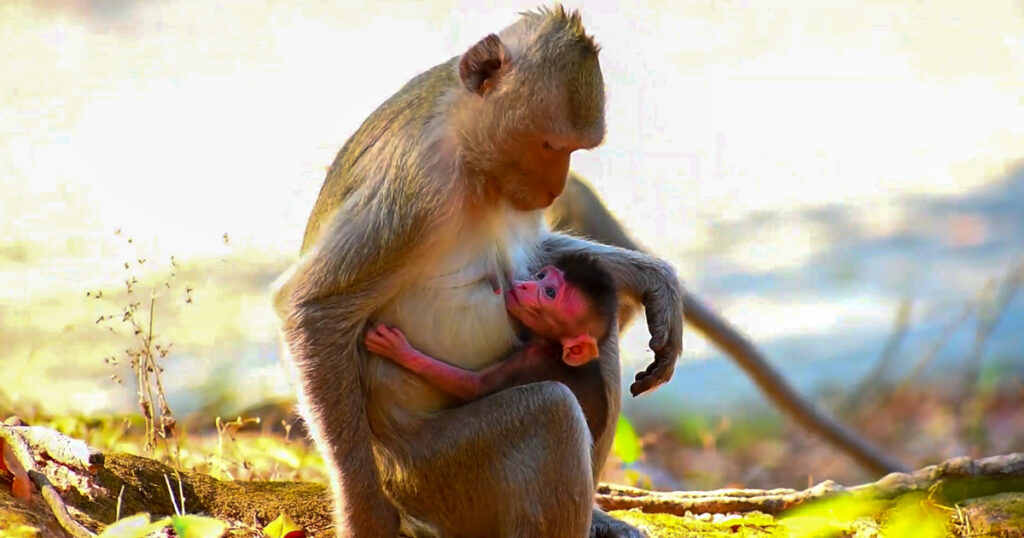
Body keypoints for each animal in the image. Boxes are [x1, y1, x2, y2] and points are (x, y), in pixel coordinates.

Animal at [365, 251, 618, 437]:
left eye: (549, 292)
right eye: (541, 276)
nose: (524, 285)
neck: (553, 346)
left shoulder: (532, 361)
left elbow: (473, 386)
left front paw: (400, 350)